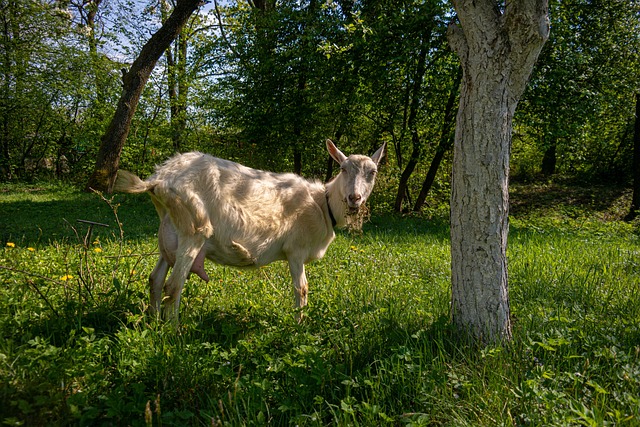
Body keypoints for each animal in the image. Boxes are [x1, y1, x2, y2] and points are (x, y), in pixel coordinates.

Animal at [114, 140, 384, 320]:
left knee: (155, 279)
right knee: (174, 285)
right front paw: (299, 325)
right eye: (343, 169)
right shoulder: (295, 249)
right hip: (194, 228)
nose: (354, 198)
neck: (322, 204)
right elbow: (302, 289)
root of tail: (159, 179)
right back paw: (172, 332)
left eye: (372, 172)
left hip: (170, 233)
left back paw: (153, 323)